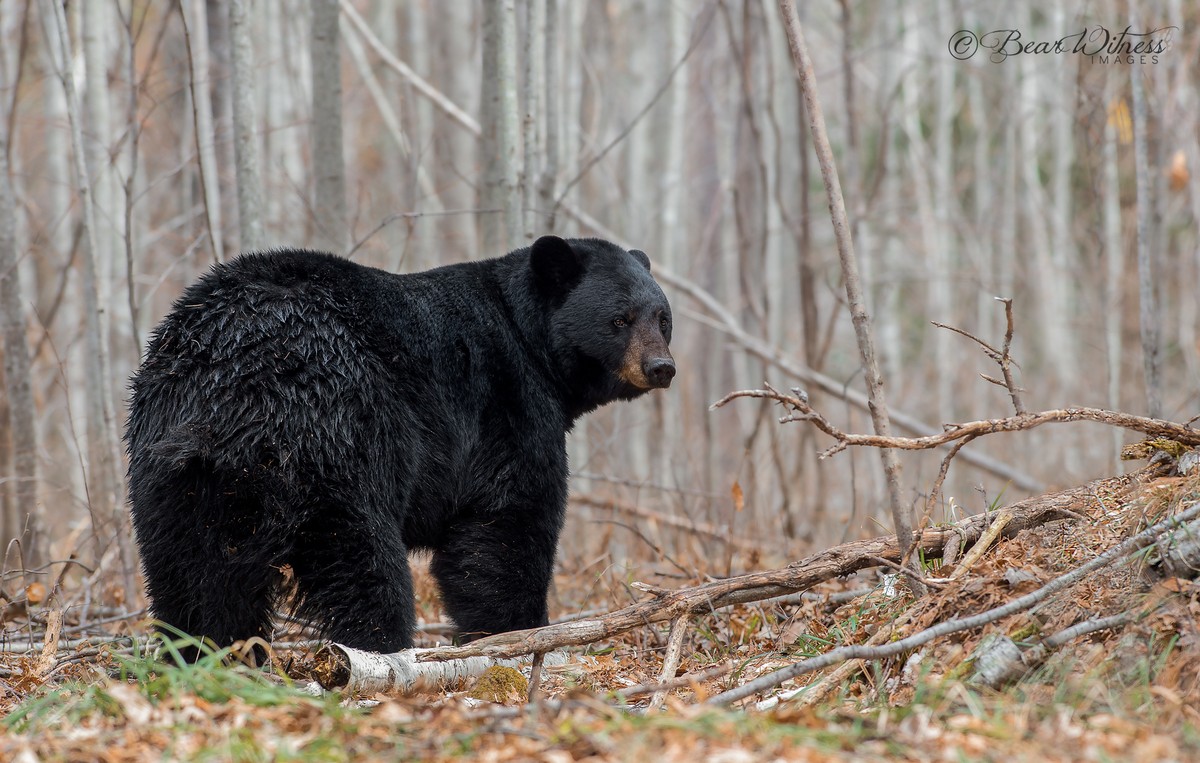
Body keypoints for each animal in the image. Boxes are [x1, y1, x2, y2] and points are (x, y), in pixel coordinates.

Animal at [129, 235, 676, 652]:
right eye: (620, 319)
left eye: (663, 317)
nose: (661, 368)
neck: (531, 340)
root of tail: (225, 387)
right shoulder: (507, 404)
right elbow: (507, 523)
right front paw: (519, 634)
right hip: (340, 441)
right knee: (363, 563)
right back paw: (380, 650)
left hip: (171, 478)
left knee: (194, 578)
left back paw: (209, 655)